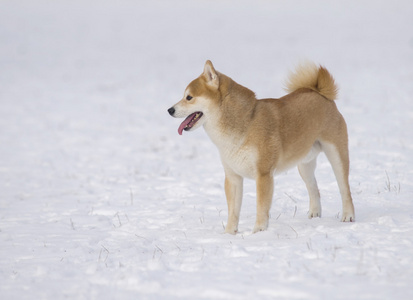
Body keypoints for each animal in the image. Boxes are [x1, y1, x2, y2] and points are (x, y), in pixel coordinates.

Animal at [167, 61, 354, 234]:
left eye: (189, 97)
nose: (169, 110)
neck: (245, 123)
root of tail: (320, 93)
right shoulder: (233, 176)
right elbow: (233, 211)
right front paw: (229, 234)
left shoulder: (263, 174)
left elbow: (261, 207)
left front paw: (259, 232)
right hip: (304, 165)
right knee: (314, 188)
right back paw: (315, 214)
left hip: (336, 155)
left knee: (344, 189)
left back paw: (348, 216)